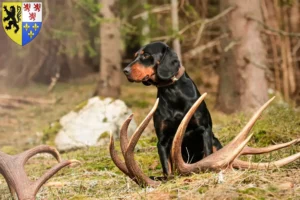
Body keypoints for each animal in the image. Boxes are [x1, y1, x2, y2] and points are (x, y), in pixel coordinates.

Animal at [122, 41, 223, 176]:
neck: (172, 93)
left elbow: (207, 154)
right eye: (135, 55)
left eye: (146, 55)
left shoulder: (204, 129)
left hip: (215, 142)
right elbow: (167, 170)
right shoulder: (162, 141)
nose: (125, 71)